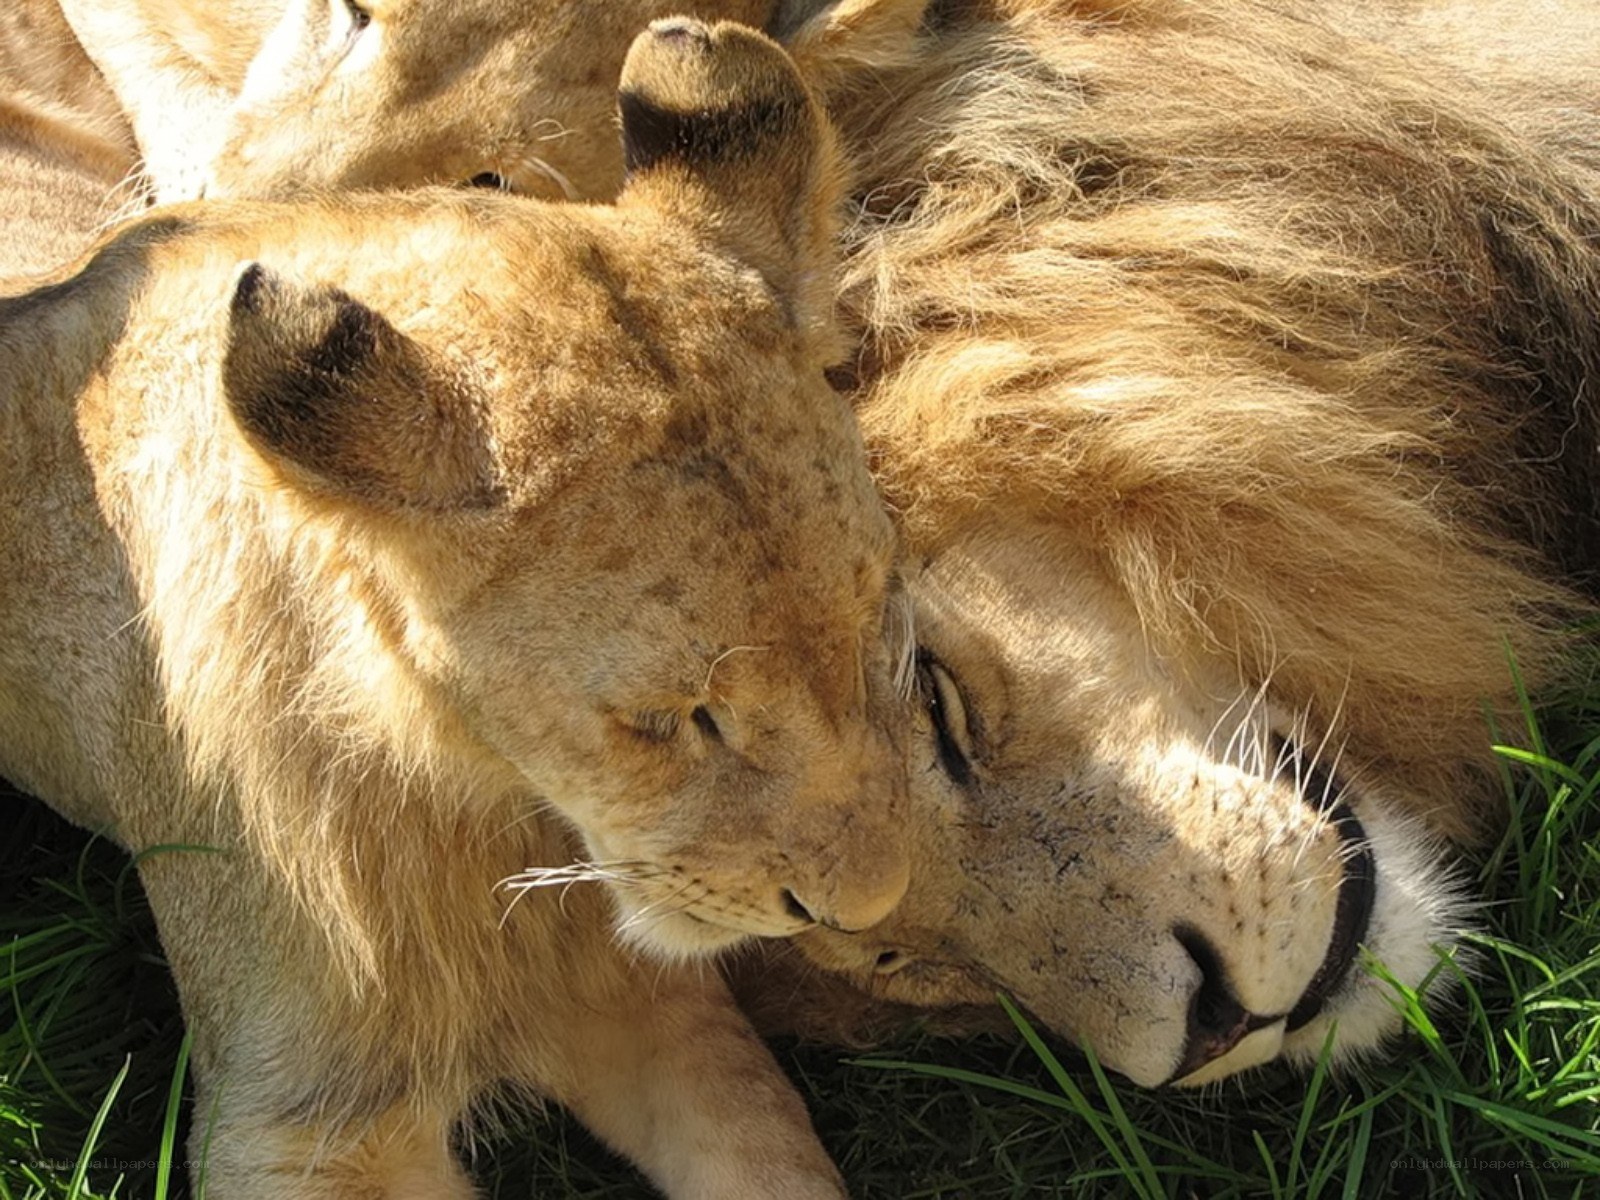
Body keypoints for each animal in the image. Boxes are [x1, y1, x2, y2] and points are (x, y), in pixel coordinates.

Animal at [0, 22, 911, 1197]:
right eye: (667, 721)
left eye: (875, 620)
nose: (869, 912)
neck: (492, 802)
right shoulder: (301, 1120)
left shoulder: (649, 1000)